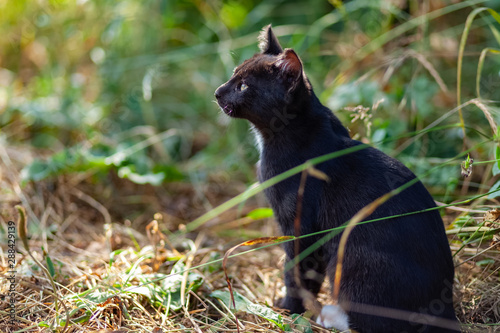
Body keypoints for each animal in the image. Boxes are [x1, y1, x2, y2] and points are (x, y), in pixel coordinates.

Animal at [213, 26, 458, 332]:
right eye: (234, 74)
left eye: (243, 86)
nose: (217, 92)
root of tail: (444, 306)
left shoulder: (302, 227)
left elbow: (296, 272)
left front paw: (287, 308)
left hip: (352, 258)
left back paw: (331, 316)